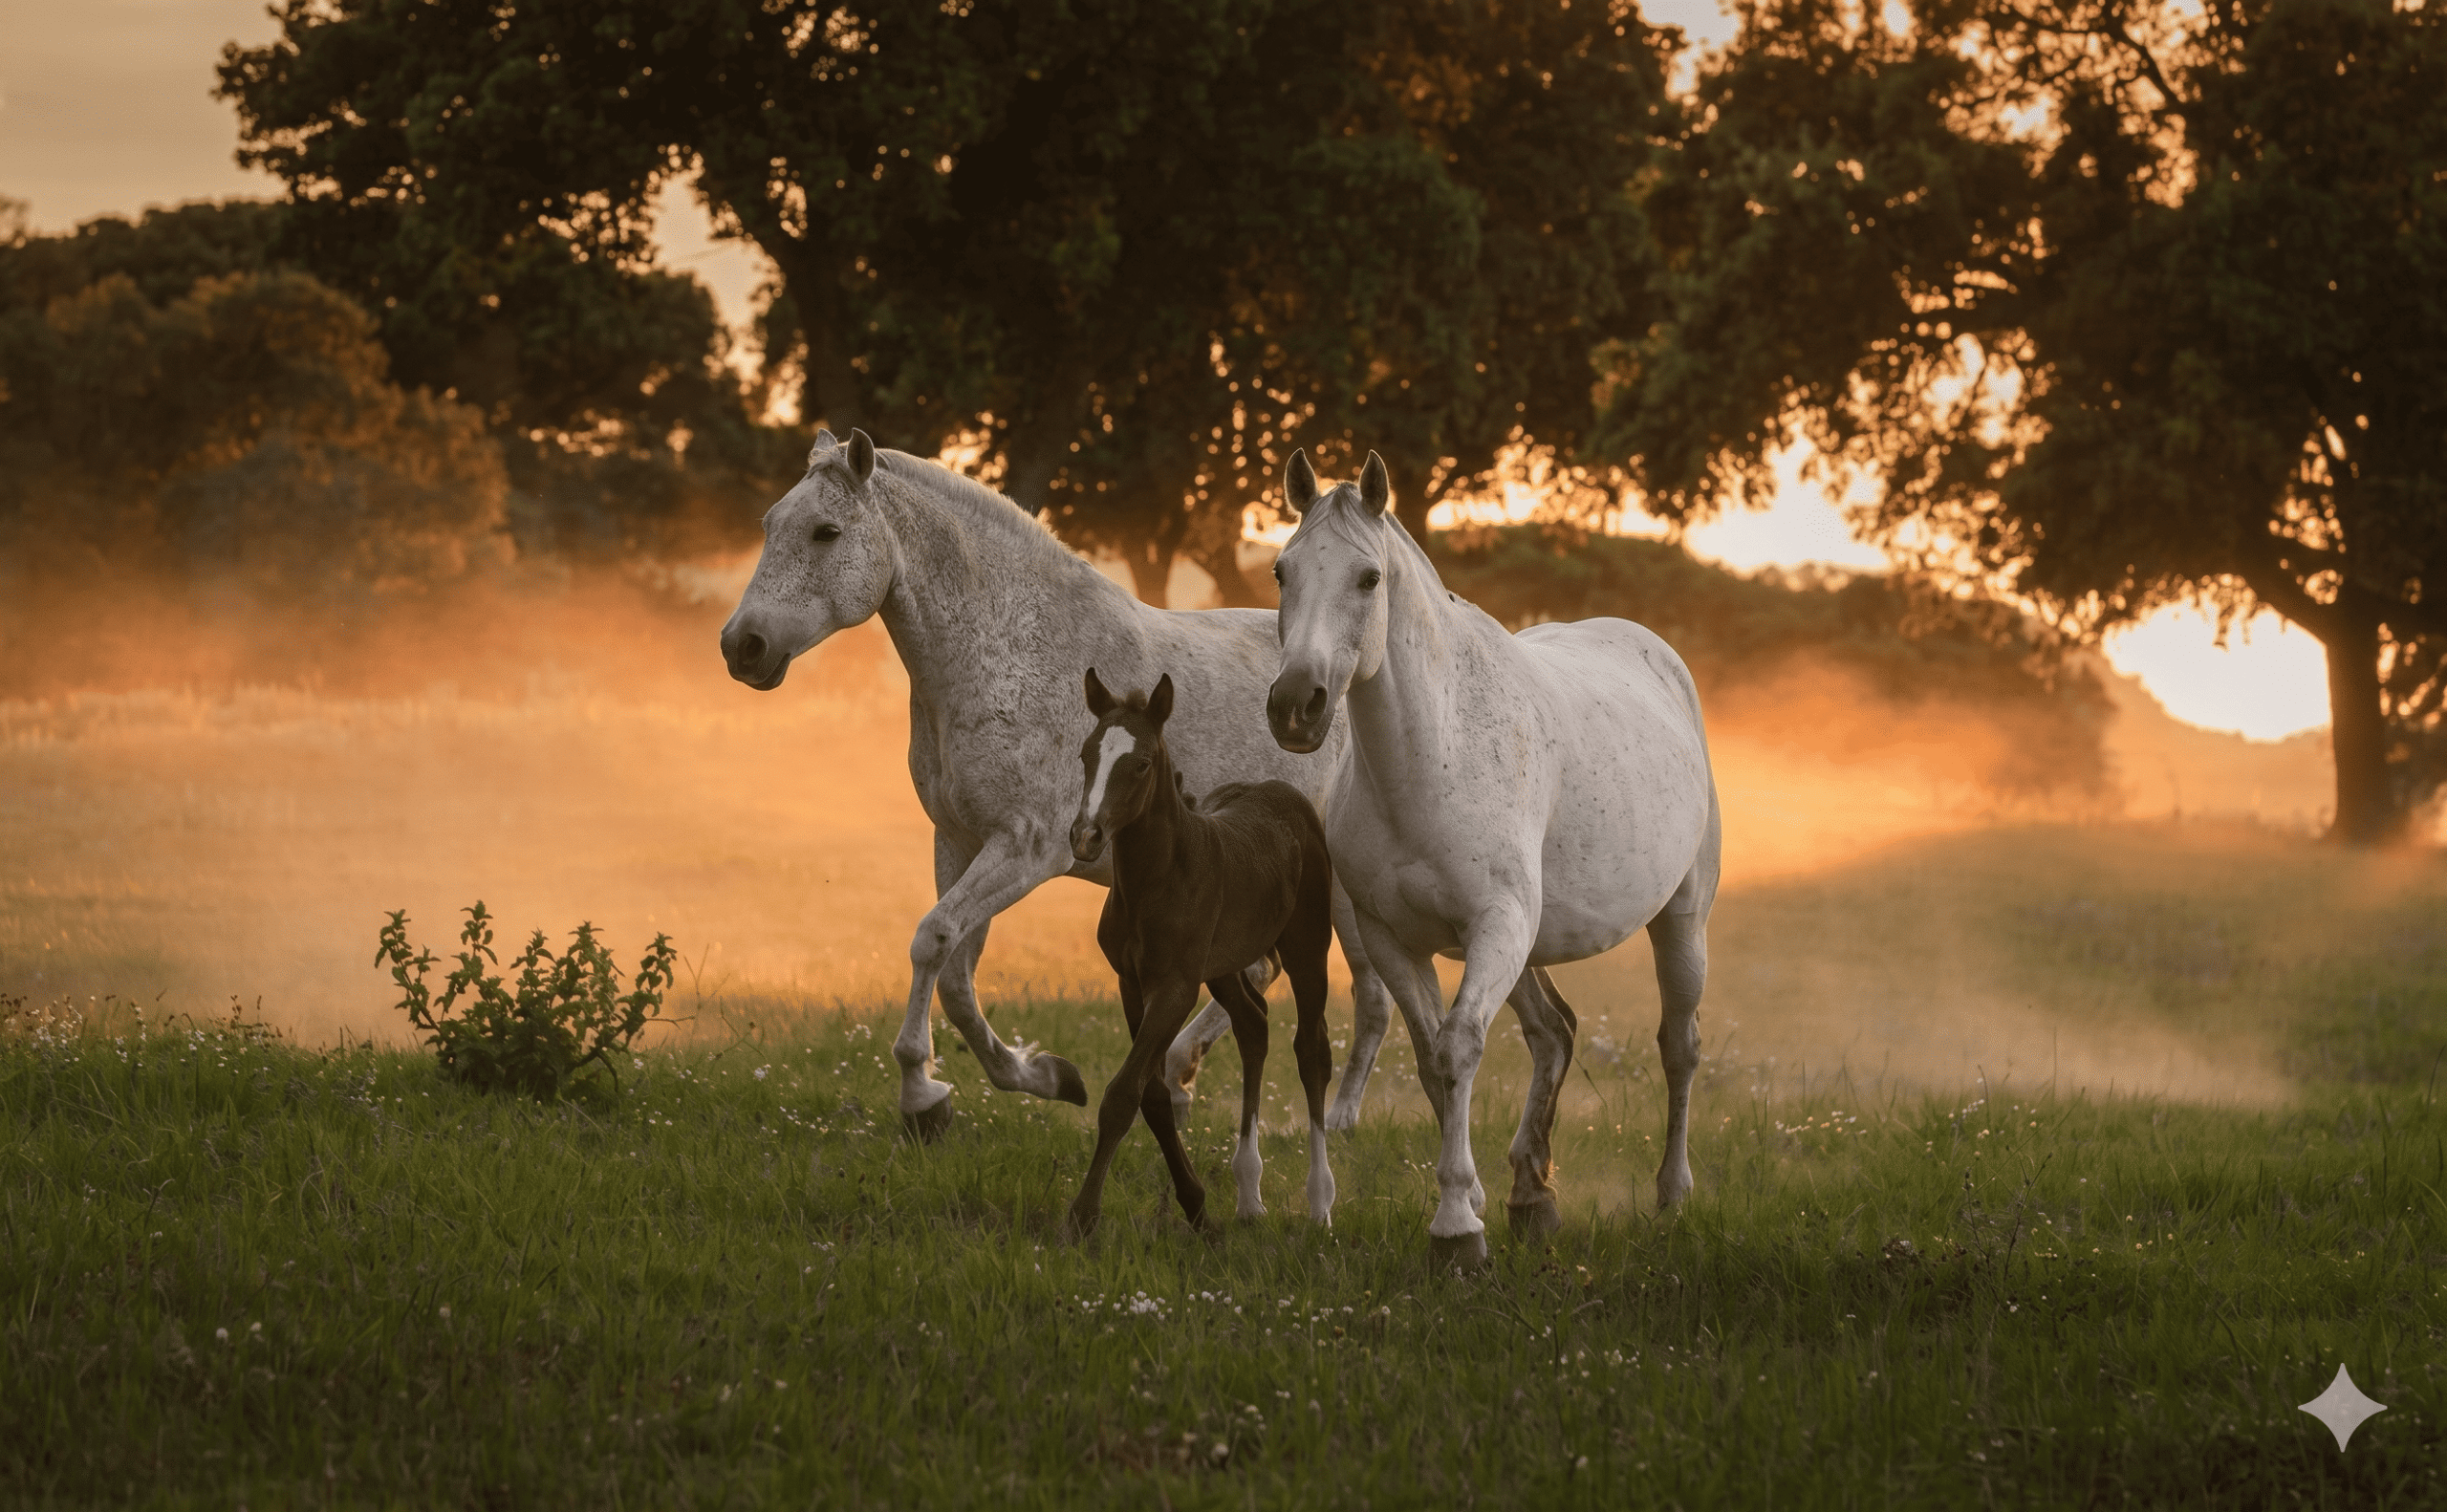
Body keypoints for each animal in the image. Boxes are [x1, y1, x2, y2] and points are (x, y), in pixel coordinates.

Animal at [717, 428, 1396, 1150]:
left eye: (826, 532)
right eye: (770, 525)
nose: (742, 646)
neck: (1009, 651)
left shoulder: (1027, 849)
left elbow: (932, 938)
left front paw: (924, 1093)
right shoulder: (960, 841)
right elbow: (954, 972)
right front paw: (1027, 1078)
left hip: (1338, 891)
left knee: (1363, 995)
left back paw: (1330, 1118)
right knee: (1273, 975)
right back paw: (1183, 1076)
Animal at [1063, 669, 1336, 1236]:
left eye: (1142, 763)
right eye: (1085, 754)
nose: (1085, 836)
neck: (1158, 879)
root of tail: (1283, 792)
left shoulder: (1176, 987)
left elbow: (1123, 1093)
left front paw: (1083, 1216)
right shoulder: (1132, 983)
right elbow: (1151, 1095)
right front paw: (1196, 1205)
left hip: (1307, 948)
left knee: (1312, 1051)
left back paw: (1320, 1202)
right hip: (1224, 968)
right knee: (1254, 1026)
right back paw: (1249, 1196)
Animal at [1263, 449, 1722, 1268]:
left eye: (1368, 578)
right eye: (1282, 571)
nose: (1296, 705)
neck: (1430, 759)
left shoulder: (1495, 926)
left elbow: (1457, 1052)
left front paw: (1456, 1231)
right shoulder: (1393, 939)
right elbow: (1431, 1061)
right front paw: (1472, 1200)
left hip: (1679, 923)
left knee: (1679, 1046)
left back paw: (1670, 1196)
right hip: (1530, 948)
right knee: (1554, 1034)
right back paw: (1531, 1195)